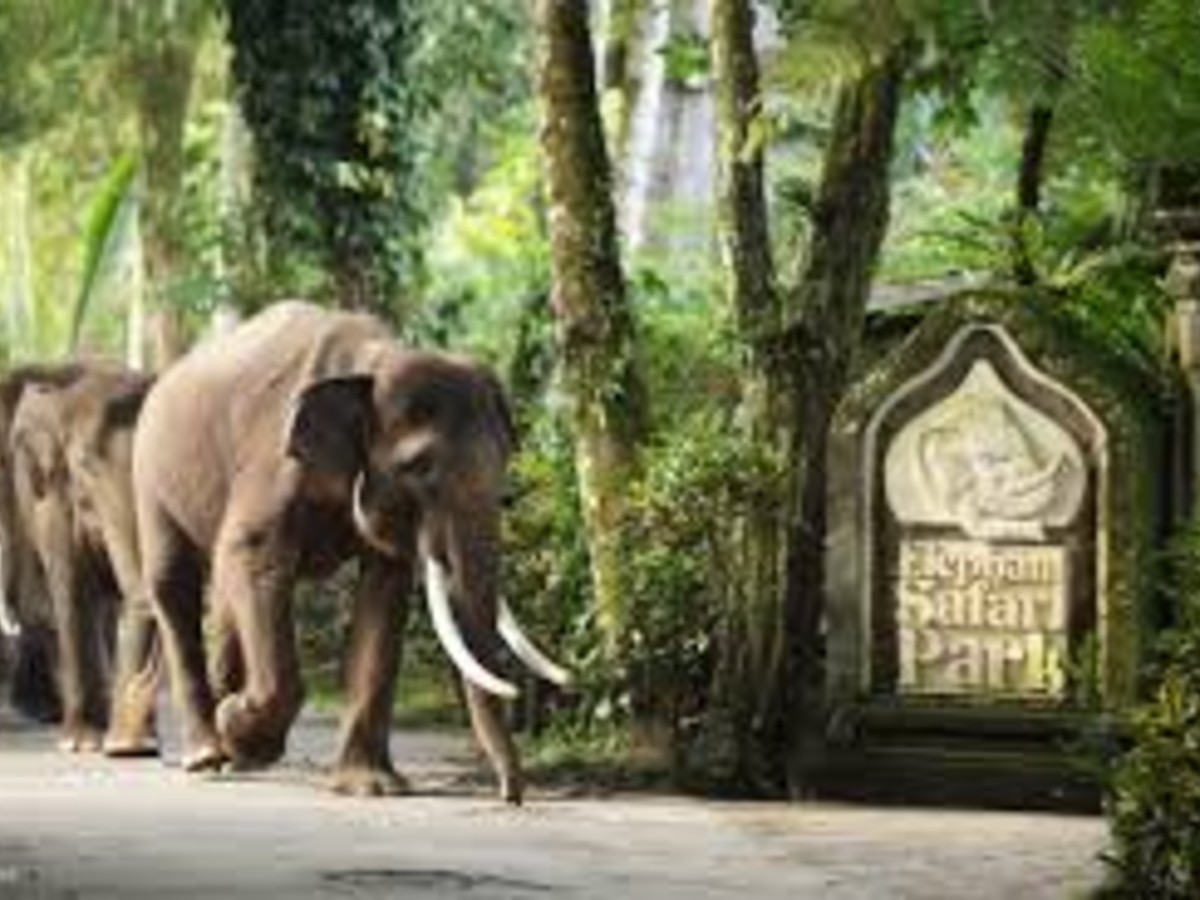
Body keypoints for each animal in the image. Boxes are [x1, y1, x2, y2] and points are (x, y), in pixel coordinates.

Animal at [7, 363, 160, 754]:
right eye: (84, 466)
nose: (131, 743)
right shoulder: (52, 497)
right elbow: (72, 587)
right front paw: (82, 743)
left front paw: (132, 743)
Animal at [133, 300, 568, 802]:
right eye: (420, 466)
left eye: (506, 465)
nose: (511, 794)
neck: (372, 360)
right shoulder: (273, 461)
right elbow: (255, 555)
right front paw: (240, 725)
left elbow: (385, 590)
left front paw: (373, 787)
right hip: (150, 475)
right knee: (174, 585)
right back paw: (207, 753)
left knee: (223, 595)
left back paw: (231, 754)